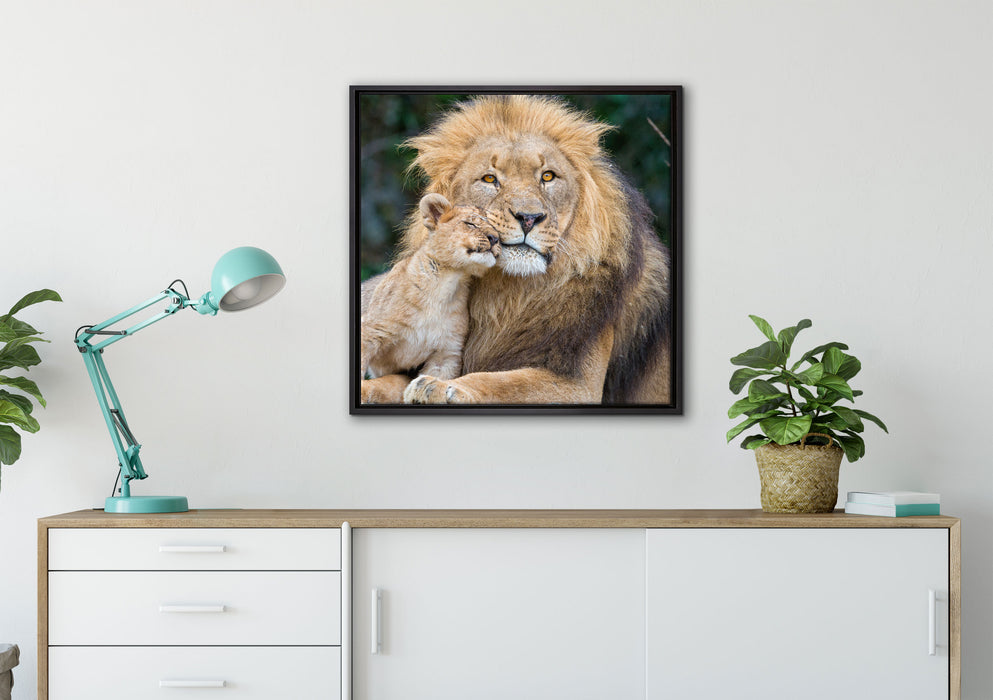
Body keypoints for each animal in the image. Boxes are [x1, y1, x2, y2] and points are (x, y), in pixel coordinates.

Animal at [361, 193, 501, 390]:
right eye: (470, 224)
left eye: (497, 230)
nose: (494, 238)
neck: (447, 283)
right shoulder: (371, 332)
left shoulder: (446, 353)